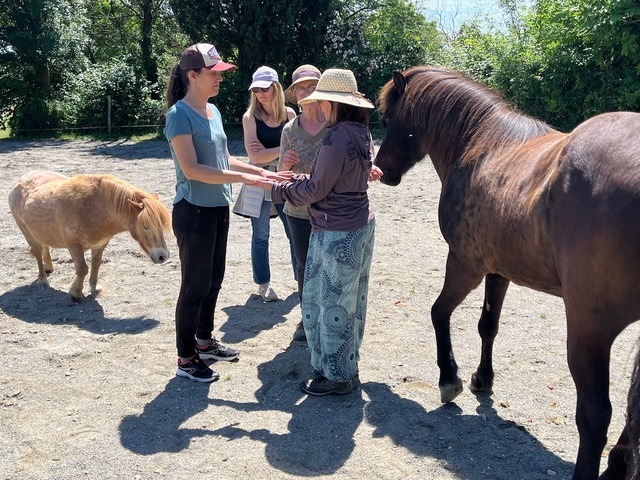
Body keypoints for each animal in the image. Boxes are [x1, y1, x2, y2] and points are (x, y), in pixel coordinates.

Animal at [9, 170, 171, 302]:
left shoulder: (100, 244)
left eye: (162, 225)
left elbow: (96, 264)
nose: (163, 256)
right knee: (37, 252)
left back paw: (48, 266)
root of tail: (20, 179)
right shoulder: (74, 246)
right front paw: (75, 293)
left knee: (44, 245)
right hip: (26, 231)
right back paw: (43, 280)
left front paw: (95, 288)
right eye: (146, 226)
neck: (95, 207)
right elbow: (82, 269)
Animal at [374, 65, 640, 480]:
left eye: (387, 119)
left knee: (595, 418)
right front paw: (482, 379)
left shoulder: (464, 264)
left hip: (589, 330)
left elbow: (438, 312)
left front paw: (449, 379)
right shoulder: (498, 271)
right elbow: (488, 326)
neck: (484, 146)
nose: (382, 169)